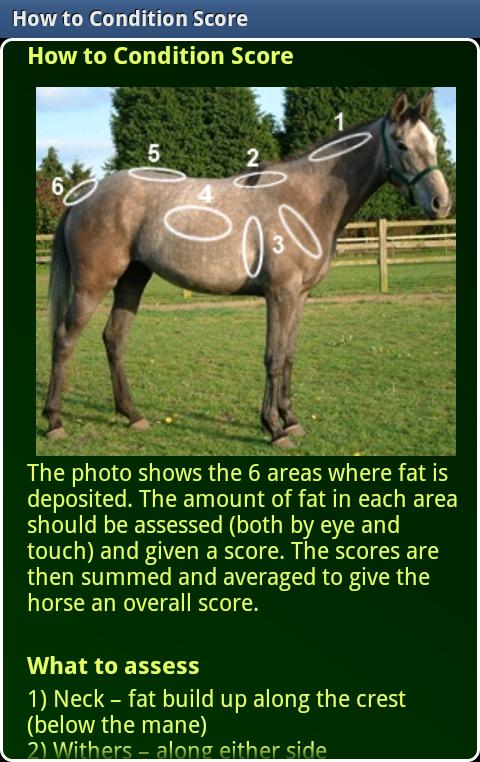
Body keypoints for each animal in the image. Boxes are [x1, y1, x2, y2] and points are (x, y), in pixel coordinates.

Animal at [43, 91, 451, 447]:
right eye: (401, 144)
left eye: (432, 141)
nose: (440, 203)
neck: (301, 201)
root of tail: (86, 195)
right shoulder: (280, 293)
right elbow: (273, 357)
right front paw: (274, 429)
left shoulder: (299, 296)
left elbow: (288, 355)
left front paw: (291, 420)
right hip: (92, 285)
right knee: (64, 340)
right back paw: (54, 422)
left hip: (132, 280)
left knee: (114, 339)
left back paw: (133, 415)